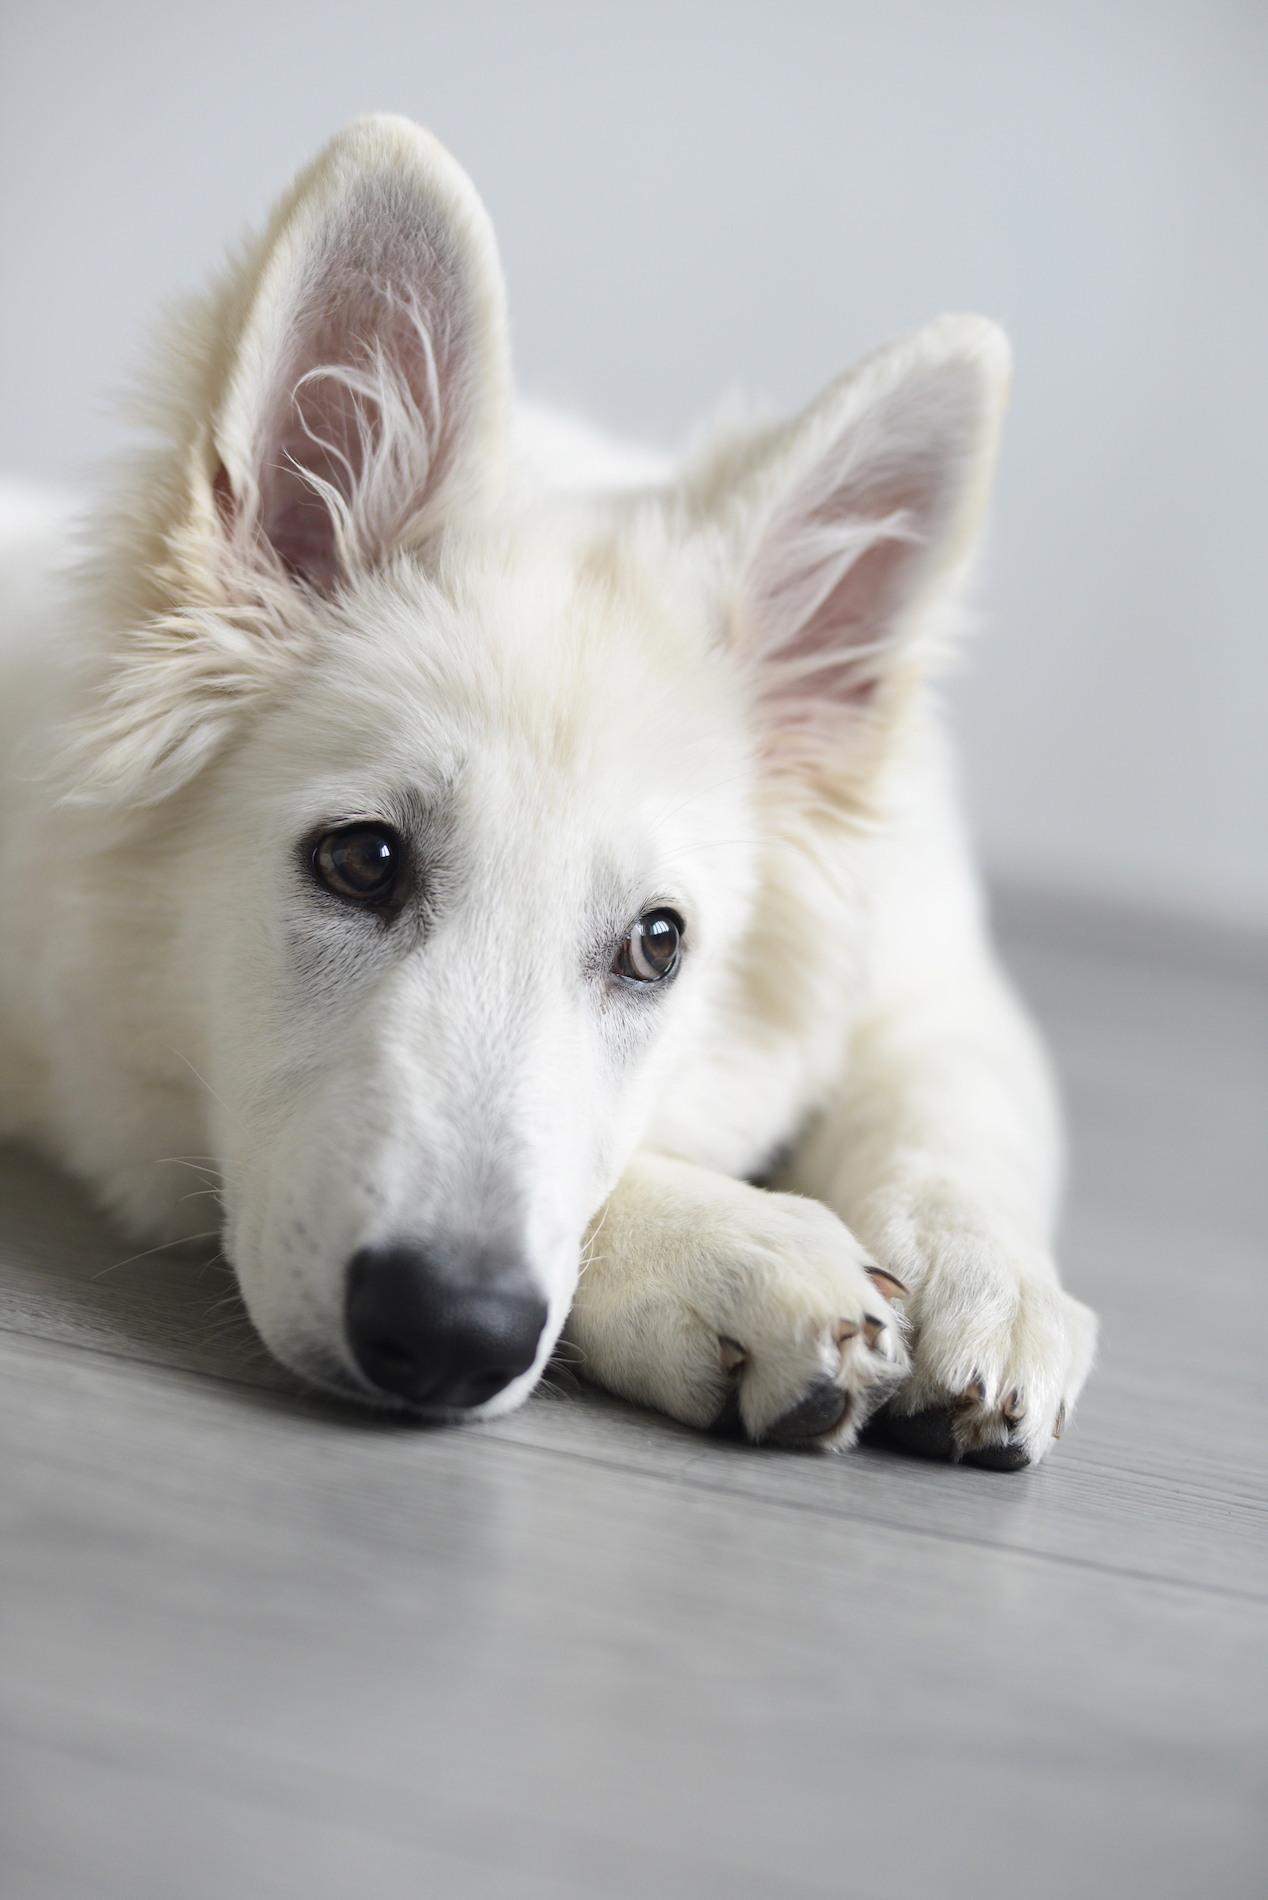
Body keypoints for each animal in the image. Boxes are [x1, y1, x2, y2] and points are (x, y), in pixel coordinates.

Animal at [0, 114, 1095, 1466]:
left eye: (659, 944)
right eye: (361, 859)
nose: (448, 1333)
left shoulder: (927, 959)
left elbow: (954, 1100)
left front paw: (978, 1275)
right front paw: (729, 1248)